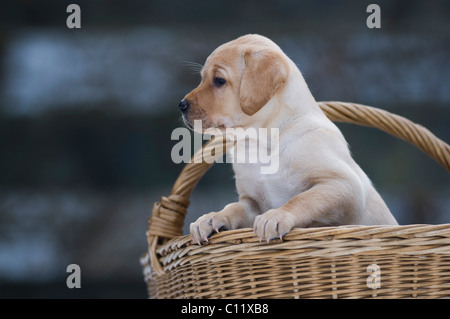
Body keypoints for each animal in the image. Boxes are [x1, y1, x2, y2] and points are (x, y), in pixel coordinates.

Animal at [179, 35, 398, 244]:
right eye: (202, 79)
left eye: (219, 80)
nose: (181, 105)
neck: (262, 143)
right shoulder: (251, 202)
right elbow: (232, 207)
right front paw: (211, 218)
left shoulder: (343, 185)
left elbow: (302, 199)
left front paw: (277, 216)